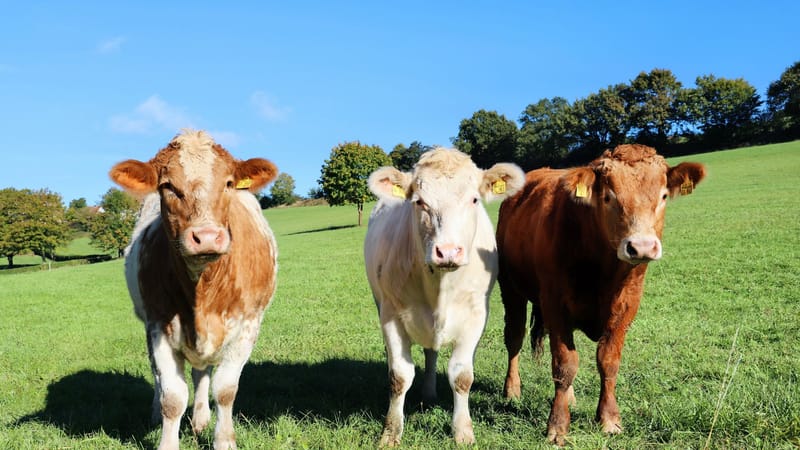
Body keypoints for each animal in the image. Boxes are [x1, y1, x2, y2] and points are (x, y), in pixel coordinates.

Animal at [109, 130, 279, 450]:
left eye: (228, 183)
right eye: (167, 186)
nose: (207, 237)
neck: (203, 291)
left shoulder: (248, 325)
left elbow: (224, 390)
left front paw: (223, 440)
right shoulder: (158, 326)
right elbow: (172, 398)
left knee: (202, 373)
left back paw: (200, 419)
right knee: (160, 376)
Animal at [364, 148, 525, 446]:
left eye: (474, 199)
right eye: (419, 202)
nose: (448, 251)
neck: (440, 286)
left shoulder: (477, 314)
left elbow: (461, 375)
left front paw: (463, 432)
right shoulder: (391, 314)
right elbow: (399, 376)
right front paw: (390, 433)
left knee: (432, 352)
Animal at [496, 144, 706, 445]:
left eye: (664, 195)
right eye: (608, 197)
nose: (642, 247)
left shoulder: (627, 306)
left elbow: (607, 362)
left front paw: (609, 419)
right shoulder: (555, 304)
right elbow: (564, 364)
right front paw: (558, 426)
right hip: (511, 288)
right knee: (514, 337)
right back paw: (512, 389)